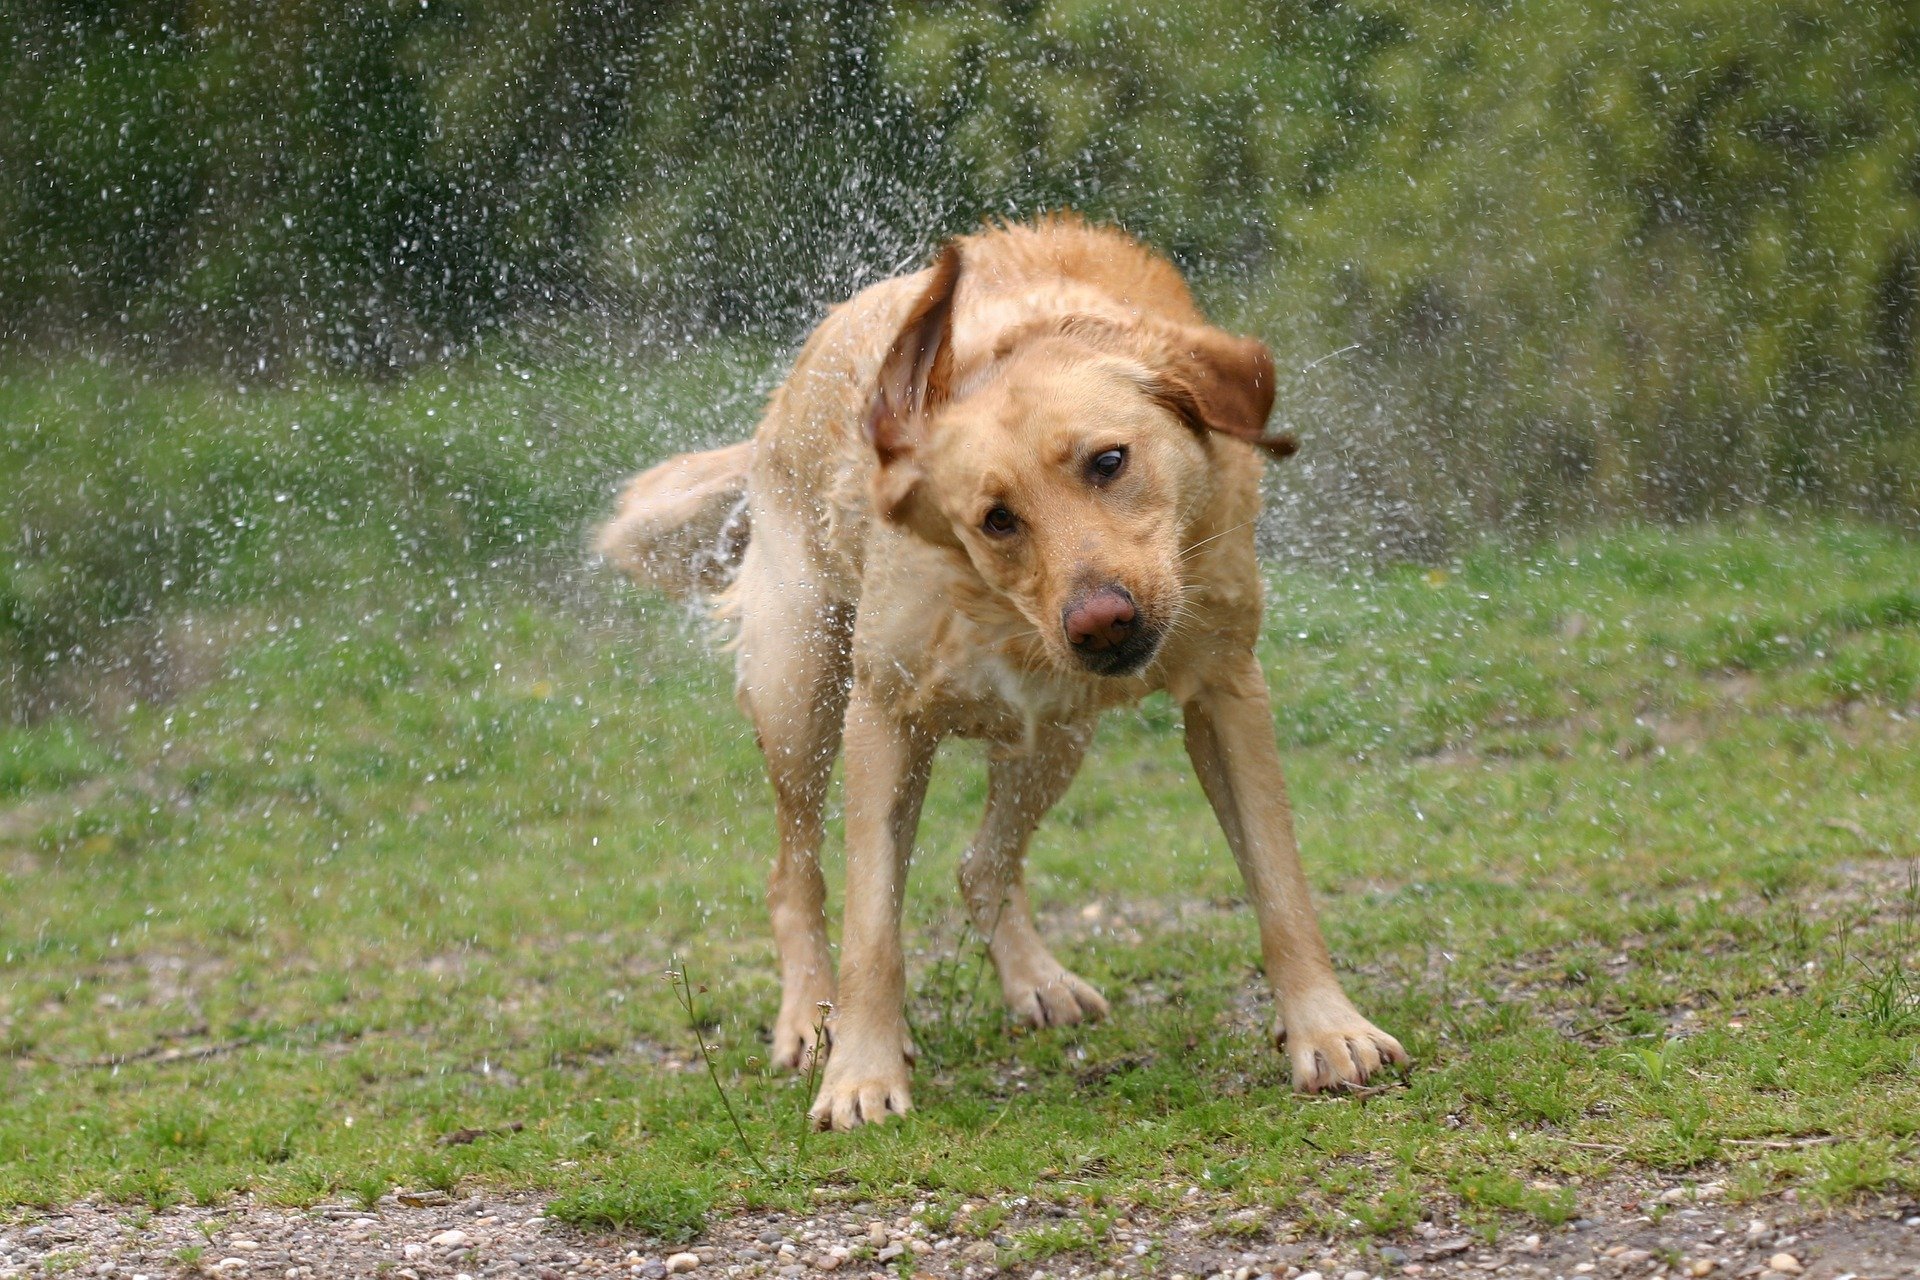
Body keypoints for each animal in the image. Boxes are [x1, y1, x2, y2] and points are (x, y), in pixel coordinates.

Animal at [599, 213, 1413, 1128]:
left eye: (1109, 461)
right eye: (996, 518)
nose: (1100, 621)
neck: (1001, 610)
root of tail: (775, 413)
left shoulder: (1226, 689)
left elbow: (1280, 885)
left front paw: (1327, 1028)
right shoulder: (886, 715)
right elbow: (872, 928)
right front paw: (862, 1072)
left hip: (1056, 736)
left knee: (980, 865)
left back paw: (1037, 981)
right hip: (801, 694)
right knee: (794, 873)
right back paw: (812, 1019)